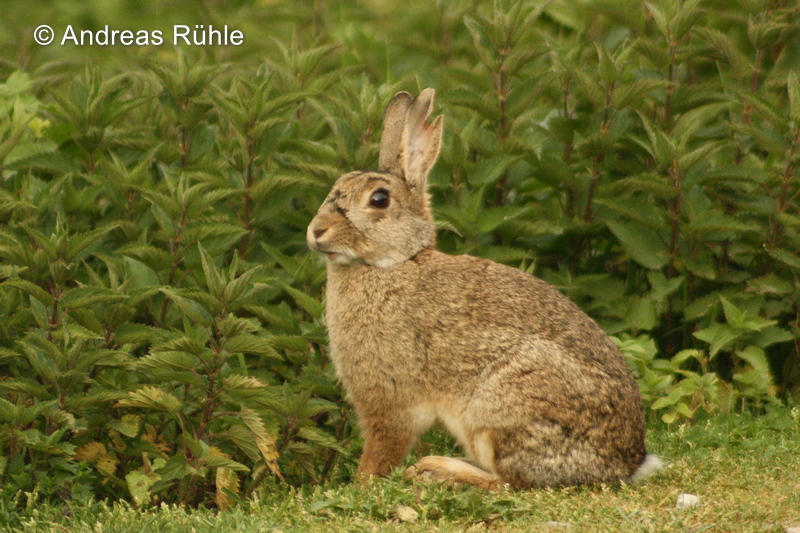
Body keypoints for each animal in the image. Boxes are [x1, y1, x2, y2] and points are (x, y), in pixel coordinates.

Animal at [306, 88, 662, 489]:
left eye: (379, 199)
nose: (316, 231)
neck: (395, 263)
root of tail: (624, 464)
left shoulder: (390, 399)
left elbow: (382, 450)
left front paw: (362, 483)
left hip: (502, 406)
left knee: (508, 482)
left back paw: (438, 470)